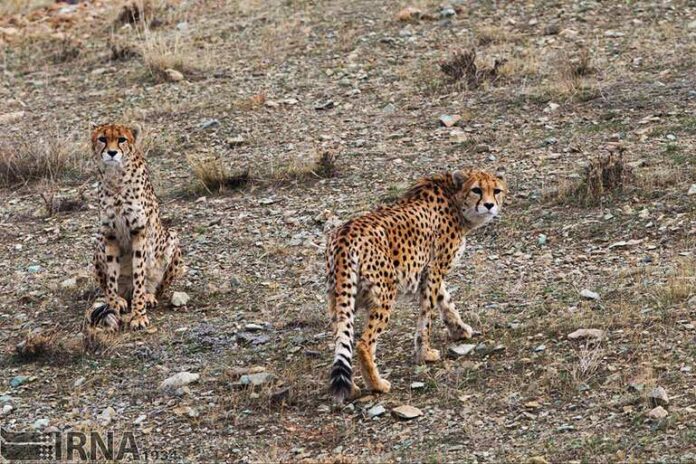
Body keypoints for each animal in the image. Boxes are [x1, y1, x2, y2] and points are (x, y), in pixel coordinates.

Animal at [87, 123, 183, 331]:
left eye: (122, 139)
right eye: (102, 139)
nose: (112, 153)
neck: (116, 178)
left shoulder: (139, 232)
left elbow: (139, 274)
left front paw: (139, 315)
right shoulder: (109, 234)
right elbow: (112, 278)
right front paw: (113, 307)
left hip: (172, 238)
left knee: (155, 287)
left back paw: (148, 296)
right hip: (99, 242)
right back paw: (120, 299)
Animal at [326, 169, 507, 401]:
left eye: (496, 190)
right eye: (477, 190)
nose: (489, 205)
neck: (455, 198)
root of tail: (344, 234)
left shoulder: (428, 271)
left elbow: (445, 300)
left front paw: (460, 329)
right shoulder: (434, 269)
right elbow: (427, 315)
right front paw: (425, 353)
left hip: (340, 299)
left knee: (342, 338)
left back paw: (352, 387)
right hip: (385, 294)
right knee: (363, 343)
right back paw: (377, 384)